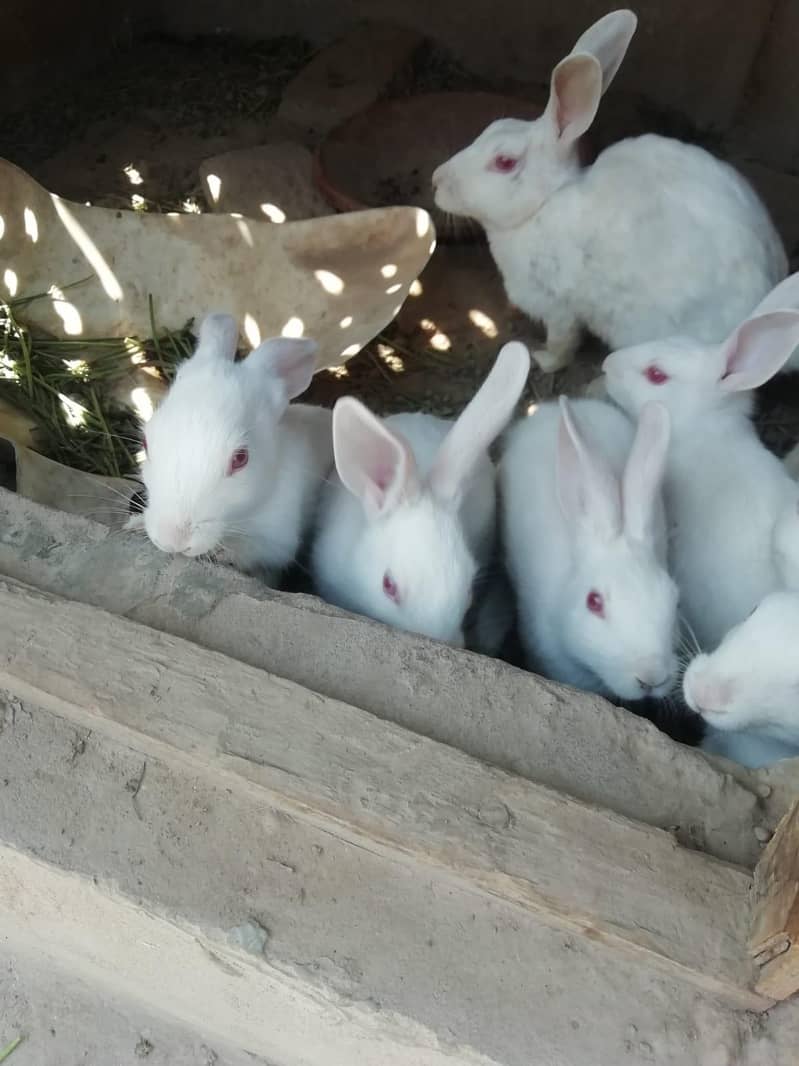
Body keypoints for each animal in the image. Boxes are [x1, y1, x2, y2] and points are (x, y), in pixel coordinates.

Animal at [432, 9, 787, 374]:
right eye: (490, 128)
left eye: (504, 162)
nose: (436, 180)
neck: (544, 203)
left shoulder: (559, 307)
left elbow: (562, 342)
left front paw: (543, 360)